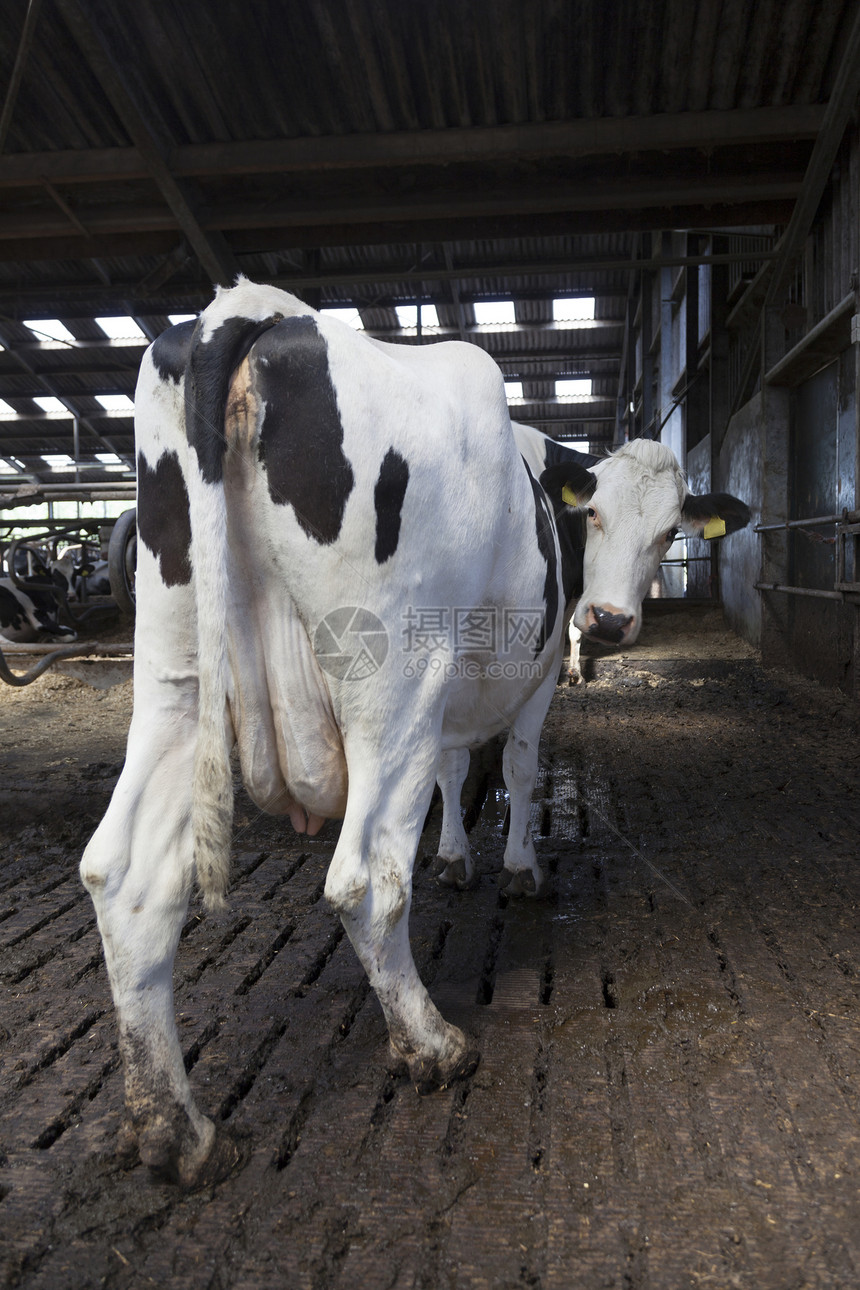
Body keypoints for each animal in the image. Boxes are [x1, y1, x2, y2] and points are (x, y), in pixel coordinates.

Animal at [82, 277, 752, 1181]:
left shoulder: (451, 697)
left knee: (125, 877)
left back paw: (177, 1129)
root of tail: (259, 311)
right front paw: (517, 867)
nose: (610, 621)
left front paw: (458, 857)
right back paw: (431, 1043)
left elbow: (451, 769)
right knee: (363, 881)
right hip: (392, 678)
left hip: (175, 669)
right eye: (597, 519)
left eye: (671, 528)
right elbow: (519, 767)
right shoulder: (534, 670)